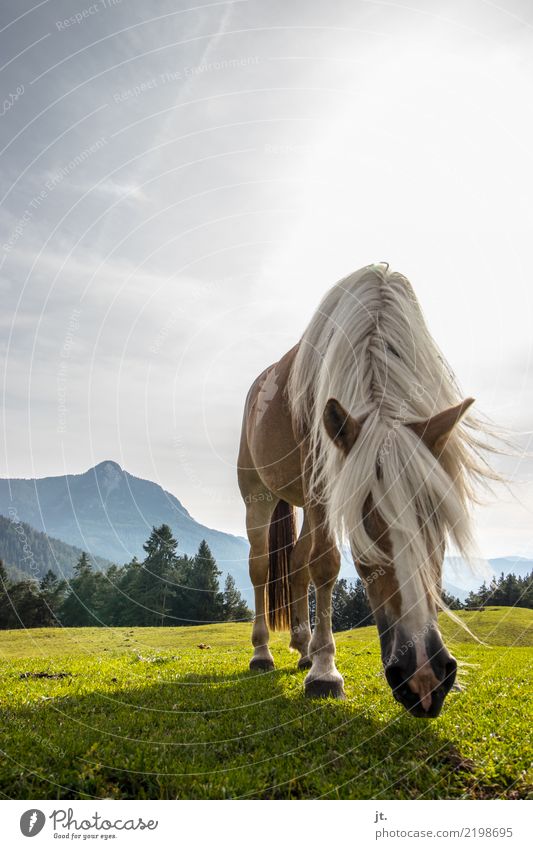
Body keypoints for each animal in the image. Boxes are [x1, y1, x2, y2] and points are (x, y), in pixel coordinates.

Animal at [235, 264, 492, 716]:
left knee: (296, 565)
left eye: (438, 519)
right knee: (261, 567)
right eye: (365, 525)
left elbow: (311, 565)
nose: (424, 676)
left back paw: (302, 647)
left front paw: (314, 658)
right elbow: (325, 564)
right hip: (258, 495)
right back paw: (263, 653)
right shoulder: (322, 481)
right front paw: (325, 673)